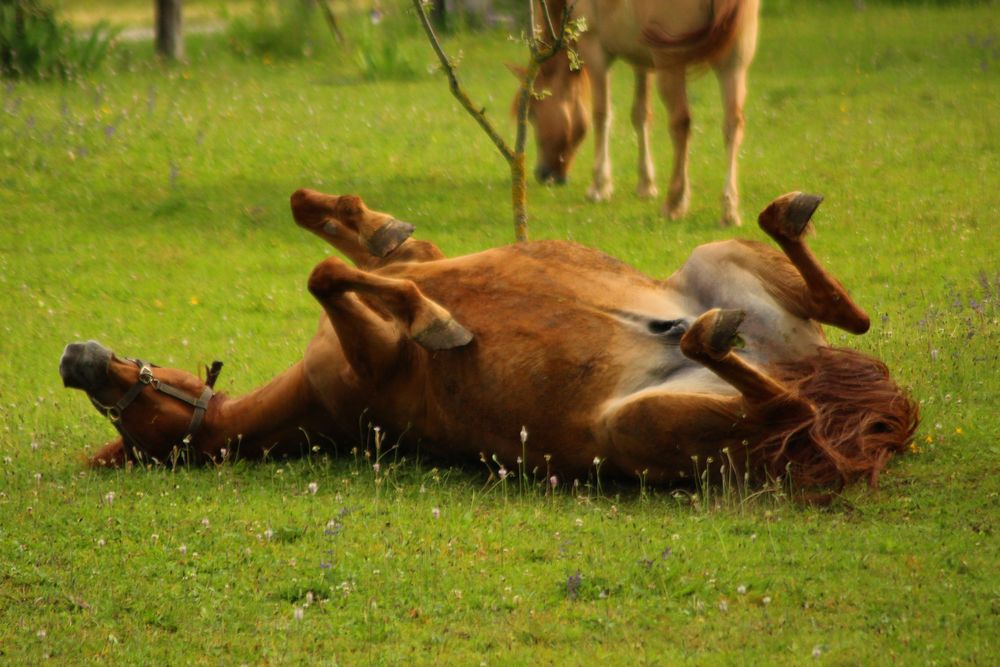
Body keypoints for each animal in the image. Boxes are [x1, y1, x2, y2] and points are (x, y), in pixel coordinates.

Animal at [60, 190, 920, 494]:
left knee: (845, 317)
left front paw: (373, 231)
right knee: (789, 407)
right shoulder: (378, 359)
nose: (76, 361)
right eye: (129, 434)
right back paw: (711, 335)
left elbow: (332, 236)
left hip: (719, 266)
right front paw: (441, 322)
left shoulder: (411, 270)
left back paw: (781, 223)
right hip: (641, 424)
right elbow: (332, 273)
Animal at [528, 0, 752, 227]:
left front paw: (599, 186)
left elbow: (601, 115)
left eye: (532, 113)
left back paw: (674, 203)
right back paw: (729, 210)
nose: (542, 174)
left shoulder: (595, 50)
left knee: (680, 124)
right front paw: (646, 185)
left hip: (670, 67)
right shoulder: (642, 61)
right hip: (733, 67)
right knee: (732, 126)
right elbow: (641, 115)